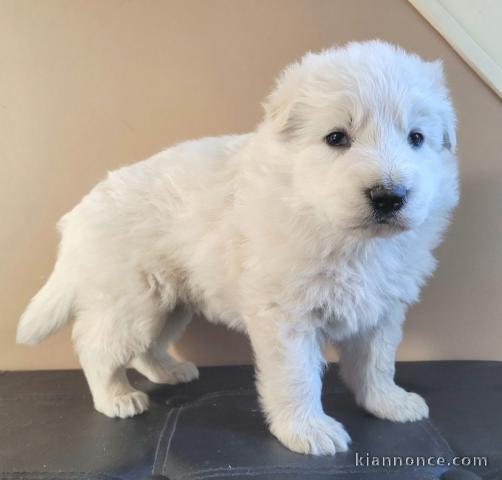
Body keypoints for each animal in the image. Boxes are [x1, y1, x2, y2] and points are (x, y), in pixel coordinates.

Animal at [17, 40, 456, 454]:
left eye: (416, 138)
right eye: (336, 138)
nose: (389, 196)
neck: (342, 233)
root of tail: (79, 214)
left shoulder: (382, 309)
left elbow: (377, 363)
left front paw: (389, 403)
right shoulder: (286, 316)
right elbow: (297, 377)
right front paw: (308, 431)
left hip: (170, 302)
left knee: (146, 347)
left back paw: (170, 371)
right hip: (133, 303)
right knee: (96, 347)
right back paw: (116, 398)